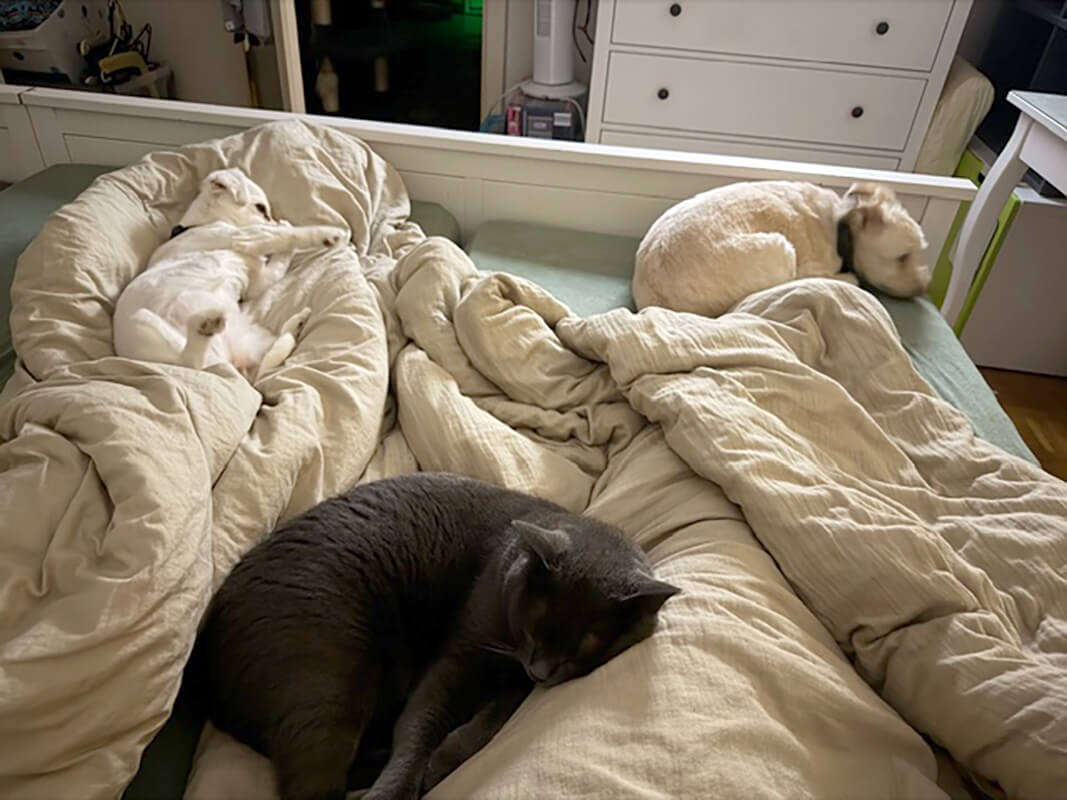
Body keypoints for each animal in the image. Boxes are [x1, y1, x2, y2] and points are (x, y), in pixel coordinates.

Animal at [113, 167, 348, 382]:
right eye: (261, 208)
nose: (274, 220)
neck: (202, 223)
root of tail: (226, 360)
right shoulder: (241, 236)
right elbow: (286, 236)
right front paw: (327, 234)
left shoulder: (259, 281)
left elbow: (280, 258)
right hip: (148, 330)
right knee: (191, 362)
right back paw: (203, 326)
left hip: (256, 339)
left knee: (271, 354)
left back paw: (296, 324)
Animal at [187, 471, 679, 800]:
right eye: (534, 623)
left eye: (588, 641)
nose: (541, 669)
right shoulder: (461, 652)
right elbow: (419, 725)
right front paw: (405, 782)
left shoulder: (515, 687)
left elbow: (486, 725)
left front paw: (442, 762)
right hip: (328, 679)